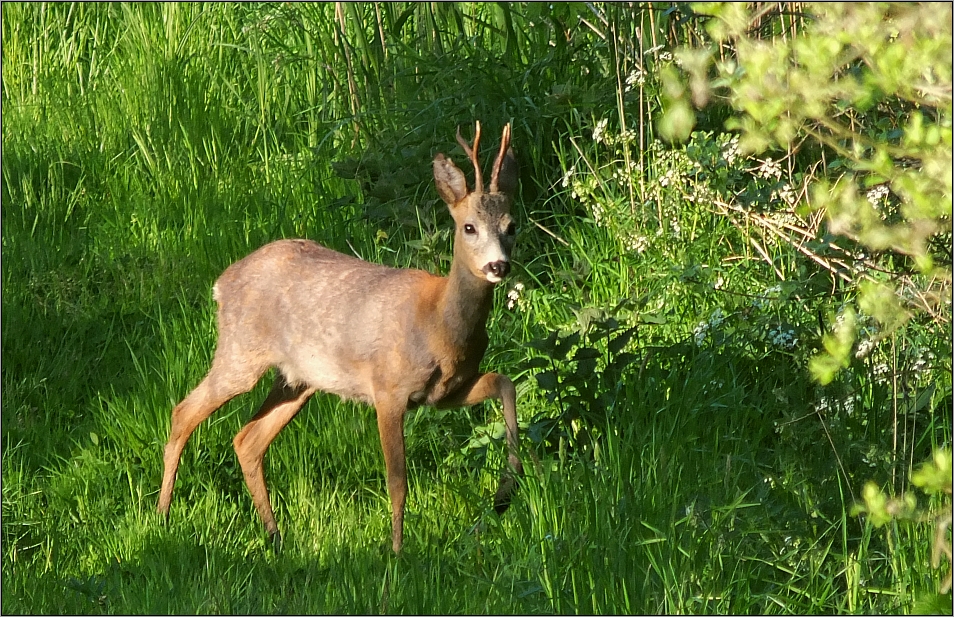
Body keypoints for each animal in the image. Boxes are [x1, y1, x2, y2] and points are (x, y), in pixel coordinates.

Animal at [160, 122, 524, 552]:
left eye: (511, 226)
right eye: (469, 227)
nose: (498, 265)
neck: (439, 324)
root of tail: (221, 283)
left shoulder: (447, 391)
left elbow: (505, 383)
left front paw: (506, 493)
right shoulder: (388, 389)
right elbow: (397, 481)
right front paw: (397, 551)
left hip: (299, 379)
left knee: (247, 440)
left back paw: (275, 535)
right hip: (240, 352)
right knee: (184, 412)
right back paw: (162, 515)